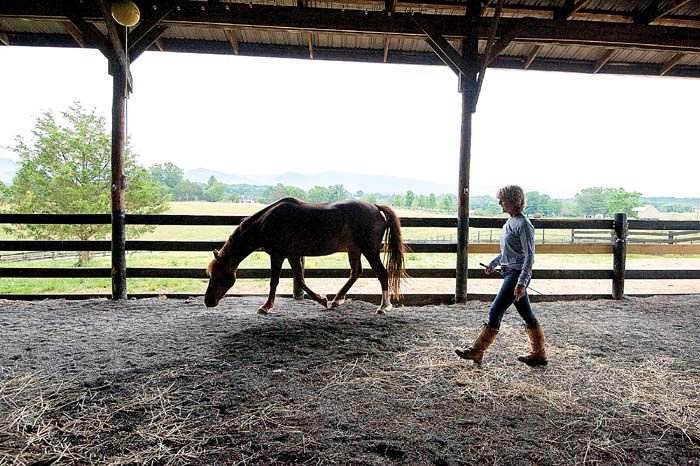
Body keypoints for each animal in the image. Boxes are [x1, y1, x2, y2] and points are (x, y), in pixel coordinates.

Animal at [205, 196, 408, 314]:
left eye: (217, 275)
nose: (208, 301)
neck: (266, 223)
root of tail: (376, 208)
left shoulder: (278, 255)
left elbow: (275, 282)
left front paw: (266, 307)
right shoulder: (293, 255)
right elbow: (300, 280)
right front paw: (323, 299)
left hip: (369, 250)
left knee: (382, 274)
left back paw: (383, 307)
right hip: (354, 250)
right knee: (356, 272)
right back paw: (336, 300)